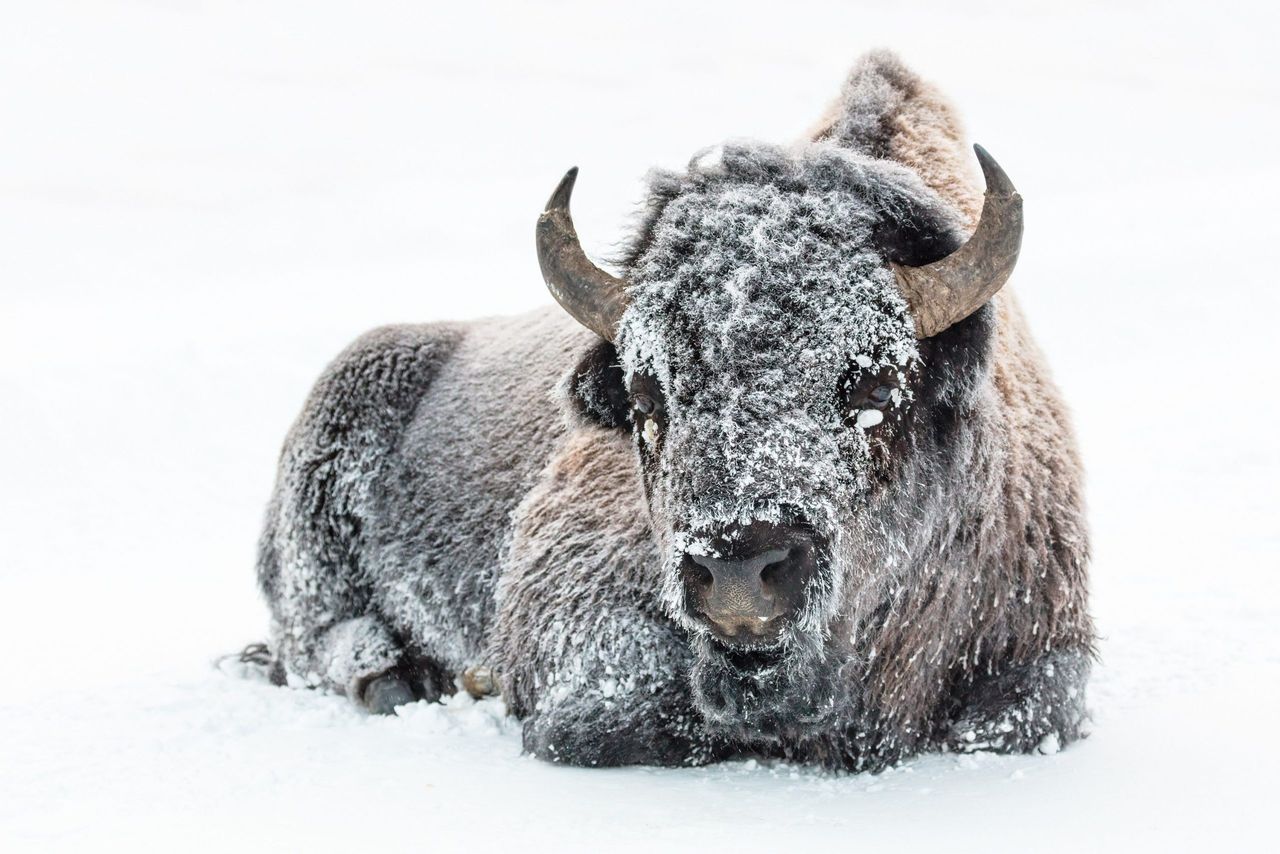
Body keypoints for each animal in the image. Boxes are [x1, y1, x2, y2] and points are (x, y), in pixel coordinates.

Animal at [257, 50, 1090, 773]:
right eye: (648, 394)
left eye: (877, 386)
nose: (739, 572)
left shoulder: (1047, 649)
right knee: (319, 633)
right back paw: (398, 677)